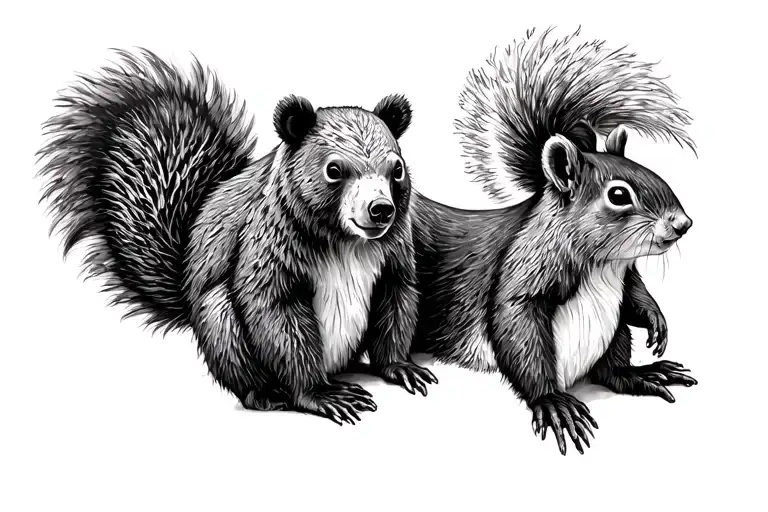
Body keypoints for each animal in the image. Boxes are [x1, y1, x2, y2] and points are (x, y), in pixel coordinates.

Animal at [37, 49, 437, 425]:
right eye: (333, 170)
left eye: (397, 169)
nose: (381, 209)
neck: (347, 241)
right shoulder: (267, 245)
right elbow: (276, 312)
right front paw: (319, 394)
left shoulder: (394, 255)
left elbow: (397, 301)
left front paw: (398, 367)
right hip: (221, 322)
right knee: (243, 363)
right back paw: (270, 394)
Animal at [410, 27, 699, 454]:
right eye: (618, 194)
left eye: (649, 169)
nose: (683, 223)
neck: (603, 265)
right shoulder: (525, 267)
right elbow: (516, 322)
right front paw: (550, 402)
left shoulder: (624, 277)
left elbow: (636, 295)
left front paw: (655, 318)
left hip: (612, 334)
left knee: (611, 371)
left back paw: (641, 375)